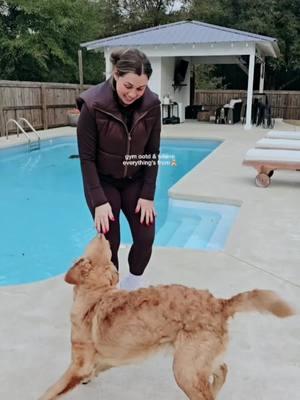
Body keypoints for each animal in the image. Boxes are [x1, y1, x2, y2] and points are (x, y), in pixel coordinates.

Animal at [38, 234, 294, 400]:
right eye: (107, 251)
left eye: (101, 245)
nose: (103, 232)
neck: (97, 294)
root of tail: (220, 303)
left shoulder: (78, 365)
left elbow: (51, 391)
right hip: (198, 363)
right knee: (222, 370)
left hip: (185, 370)